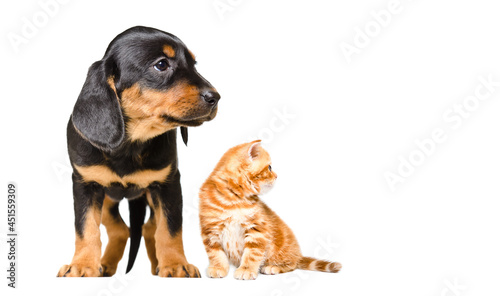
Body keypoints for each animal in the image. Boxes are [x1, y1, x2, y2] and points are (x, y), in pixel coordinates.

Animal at [57, 26, 220, 278]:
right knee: (121, 229)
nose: (215, 98)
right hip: (106, 198)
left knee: (147, 227)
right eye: (161, 64)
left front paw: (175, 264)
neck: (131, 144)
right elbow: (85, 228)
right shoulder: (85, 184)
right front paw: (82, 265)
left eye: (194, 63)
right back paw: (105, 265)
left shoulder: (168, 184)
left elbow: (170, 228)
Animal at [197, 140, 342, 280]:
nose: (277, 176)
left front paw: (246, 269)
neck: (234, 200)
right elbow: (215, 253)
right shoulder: (210, 229)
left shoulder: (258, 229)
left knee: (292, 264)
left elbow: (252, 254)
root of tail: (298, 255)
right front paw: (218, 267)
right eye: (270, 167)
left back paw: (273, 267)